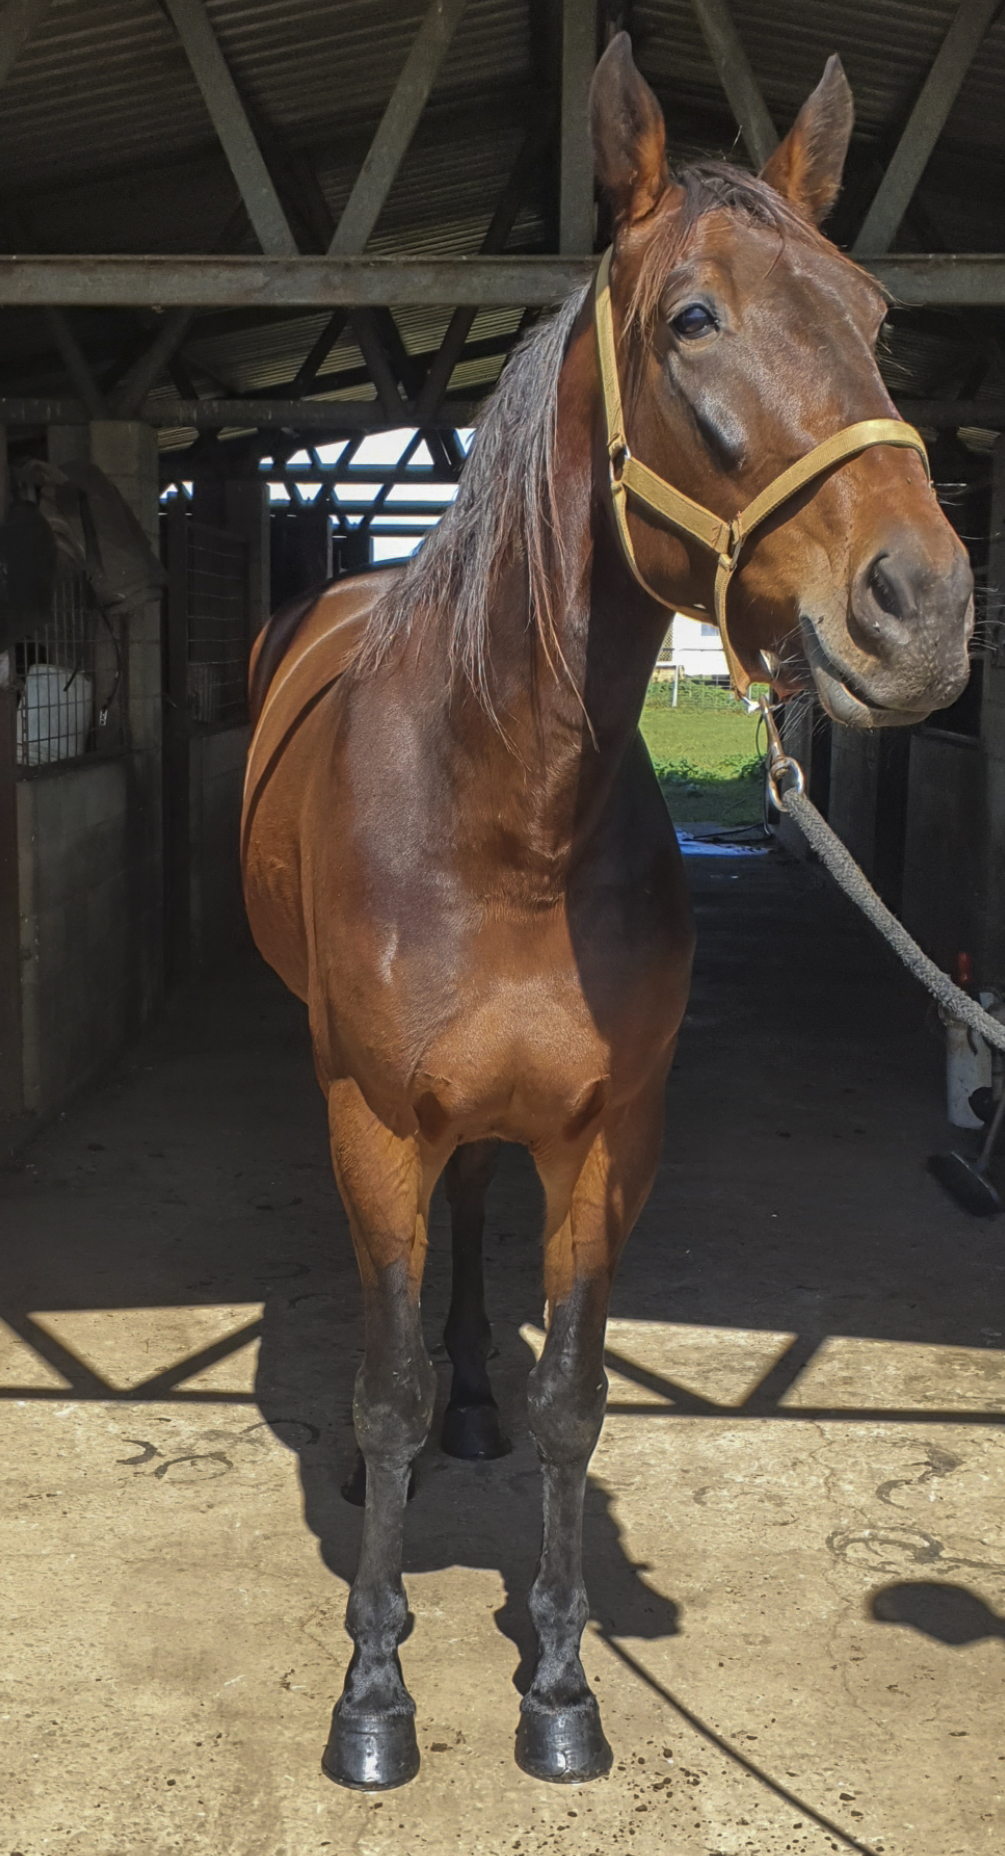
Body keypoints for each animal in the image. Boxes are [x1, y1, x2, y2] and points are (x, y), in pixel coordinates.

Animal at [241, 34, 973, 1791]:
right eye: (691, 318)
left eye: (873, 313)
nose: (923, 609)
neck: (505, 812)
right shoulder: (374, 1112)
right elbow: (377, 1389)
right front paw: (374, 1696)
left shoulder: (605, 1132)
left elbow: (574, 1398)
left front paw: (563, 1689)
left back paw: (474, 1410)